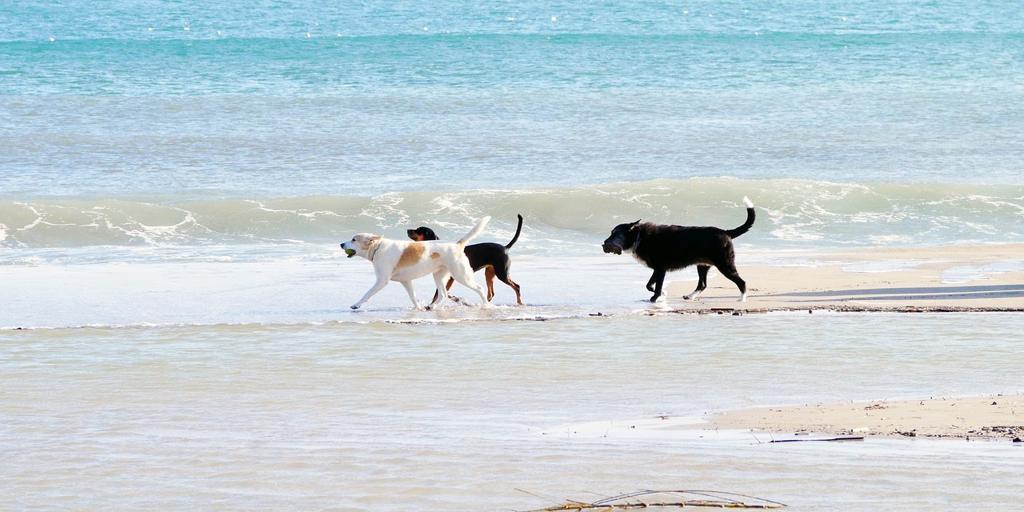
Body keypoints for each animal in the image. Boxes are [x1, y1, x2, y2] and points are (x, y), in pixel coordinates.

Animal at [339, 215, 491, 309]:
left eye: (354, 239)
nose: (341, 244)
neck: (378, 248)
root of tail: (457, 245)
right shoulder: (406, 281)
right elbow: (413, 297)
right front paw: (418, 308)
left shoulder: (381, 281)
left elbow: (367, 293)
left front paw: (356, 304)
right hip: (439, 276)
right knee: (443, 294)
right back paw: (432, 306)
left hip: (461, 275)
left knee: (479, 288)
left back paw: (486, 305)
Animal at [598, 198, 753, 303]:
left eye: (615, 234)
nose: (604, 243)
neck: (638, 236)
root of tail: (726, 232)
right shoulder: (657, 269)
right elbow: (649, 284)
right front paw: (662, 294)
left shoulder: (661, 269)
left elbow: (657, 286)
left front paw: (655, 298)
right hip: (702, 265)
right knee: (702, 284)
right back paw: (690, 296)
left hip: (724, 264)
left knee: (742, 282)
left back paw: (742, 299)